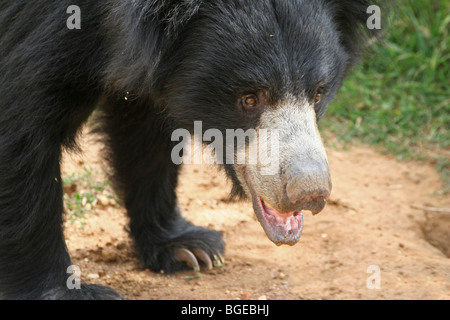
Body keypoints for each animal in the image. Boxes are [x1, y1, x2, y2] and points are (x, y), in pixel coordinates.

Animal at [0, 0, 384, 300]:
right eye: (249, 99)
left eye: (318, 92)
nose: (309, 192)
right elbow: (21, 124)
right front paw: (66, 291)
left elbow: (144, 132)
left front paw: (187, 247)